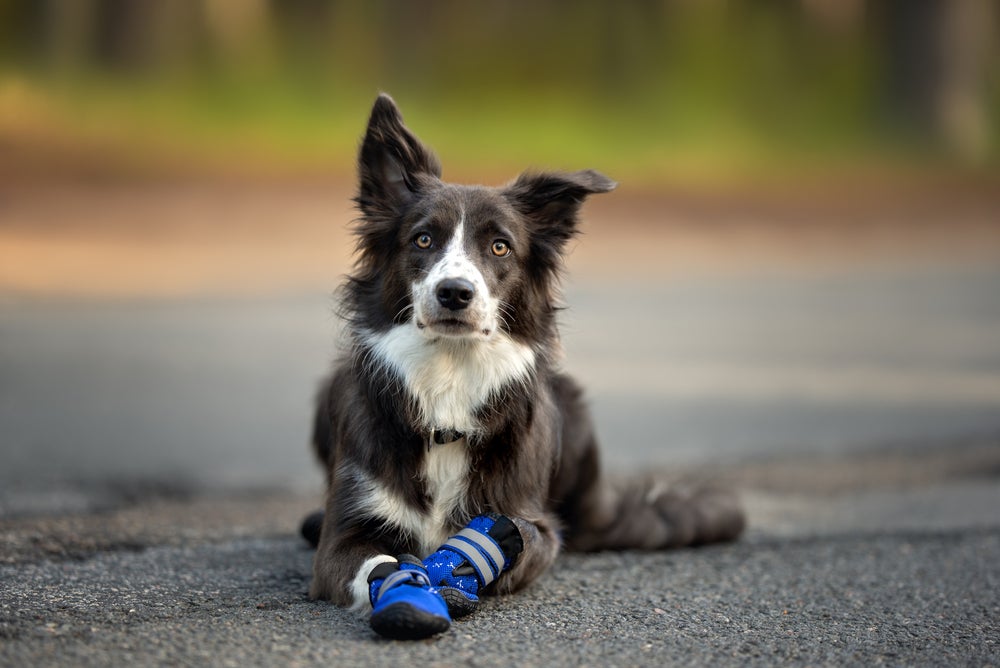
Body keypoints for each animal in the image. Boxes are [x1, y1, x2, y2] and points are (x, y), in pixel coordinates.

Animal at [304, 92, 744, 636]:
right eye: (423, 240)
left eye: (500, 246)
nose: (455, 293)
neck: (449, 381)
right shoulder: (345, 533)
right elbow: (375, 563)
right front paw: (405, 589)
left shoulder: (532, 522)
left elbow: (518, 541)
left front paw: (465, 566)